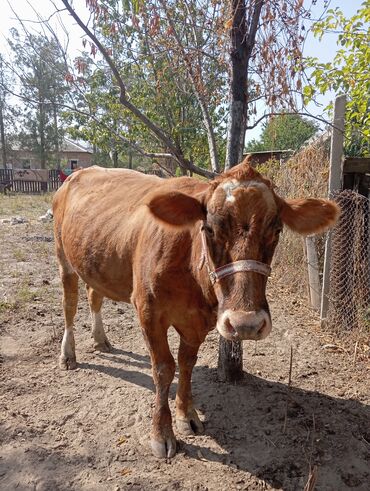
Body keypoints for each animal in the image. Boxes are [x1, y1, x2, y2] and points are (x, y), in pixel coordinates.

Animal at [52, 160, 338, 460]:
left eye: (277, 230)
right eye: (209, 229)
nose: (245, 323)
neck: (190, 268)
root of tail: (80, 172)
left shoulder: (200, 321)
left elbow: (186, 364)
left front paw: (186, 415)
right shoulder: (148, 311)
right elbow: (164, 369)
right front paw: (161, 433)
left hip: (94, 261)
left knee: (94, 295)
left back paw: (100, 339)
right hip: (63, 257)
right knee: (69, 304)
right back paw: (68, 354)